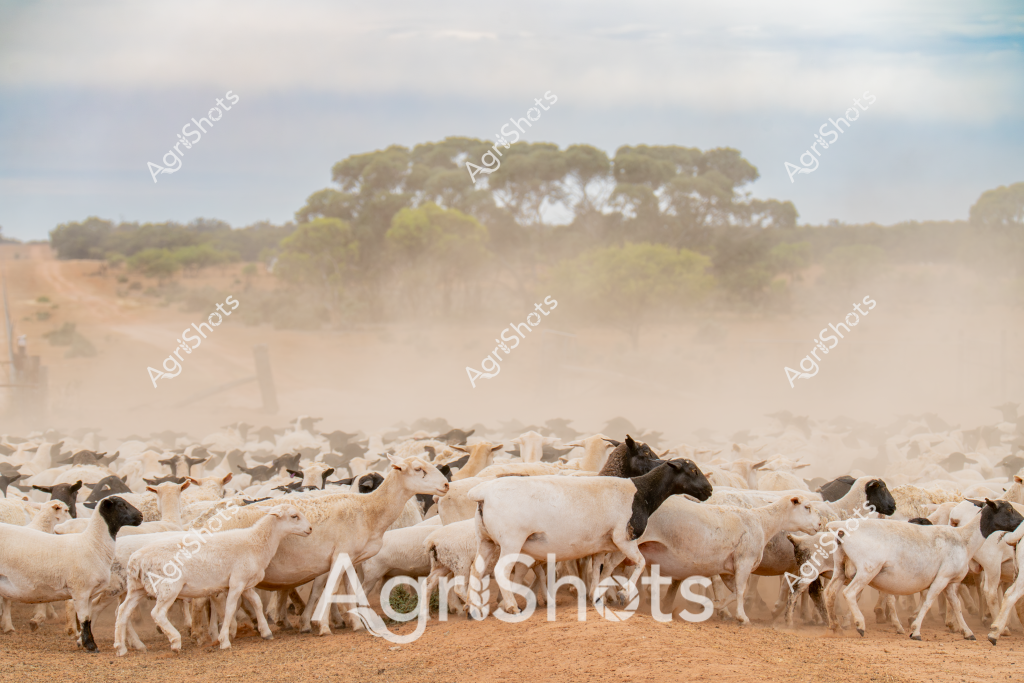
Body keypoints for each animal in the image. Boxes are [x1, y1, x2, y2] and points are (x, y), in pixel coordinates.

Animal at [0, 496, 143, 651]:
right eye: (122, 505)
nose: (141, 516)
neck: (93, 544)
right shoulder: (80, 590)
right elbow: (84, 619)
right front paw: (90, 645)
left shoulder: (89, 593)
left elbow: (88, 617)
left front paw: (84, 642)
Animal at [113, 505, 313, 654]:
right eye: (294, 516)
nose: (310, 529)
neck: (255, 541)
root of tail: (136, 560)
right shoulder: (236, 582)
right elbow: (230, 608)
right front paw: (224, 640)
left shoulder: (246, 583)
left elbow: (256, 602)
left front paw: (266, 631)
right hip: (168, 587)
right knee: (157, 613)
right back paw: (175, 641)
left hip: (136, 589)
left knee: (123, 611)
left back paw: (121, 647)